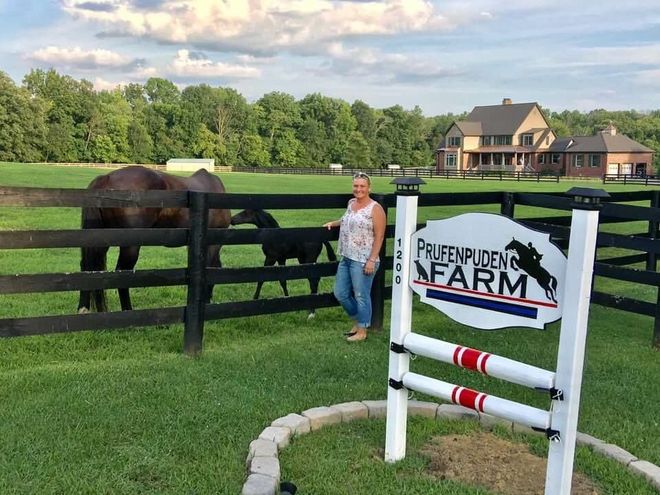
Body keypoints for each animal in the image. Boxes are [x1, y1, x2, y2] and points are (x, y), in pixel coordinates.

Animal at [78, 167, 229, 314]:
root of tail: (106, 178)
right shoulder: (214, 242)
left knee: (88, 267)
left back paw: (84, 309)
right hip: (130, 246)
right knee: (122, 273)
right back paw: (127, 310)